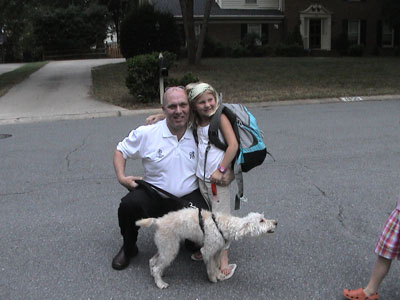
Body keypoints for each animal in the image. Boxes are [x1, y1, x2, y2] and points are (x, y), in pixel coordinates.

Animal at [136, 207, 276, 290]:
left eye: (264, 218)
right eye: (261, 220)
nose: (276, 222)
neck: (225, 225)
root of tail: (158, 221)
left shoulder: (217, 251)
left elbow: (217, 265)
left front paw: (219, 274)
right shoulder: (207, 251)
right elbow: (211, 267)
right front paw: (213, 279)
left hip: (165, 247)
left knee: (152, 261)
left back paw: (156, 275)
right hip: (170, 249)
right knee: (156, 266)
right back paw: (160, 283)